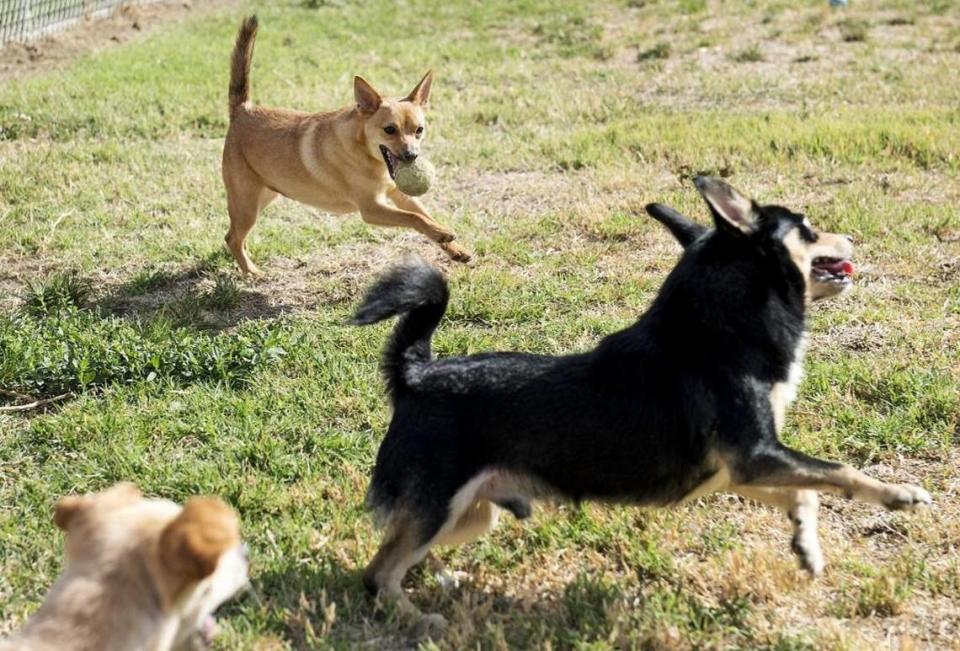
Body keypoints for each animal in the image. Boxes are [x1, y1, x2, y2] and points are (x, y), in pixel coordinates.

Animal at [221, 14, 468, 276]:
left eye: (419, 130)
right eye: (390, 130)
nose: (412, 156)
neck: (365, 153)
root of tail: (243, 110)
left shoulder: (399, 194)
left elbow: (425, 215)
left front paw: (453, 246)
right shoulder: (371, 209)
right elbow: (414, 218)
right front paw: (442, 233)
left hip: (263, 197)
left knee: (237, 235)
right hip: (247, 204)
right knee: (233, 238)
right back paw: (251, 271)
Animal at [352, 176, 928, 624]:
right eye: (808, 228)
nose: (851, 236)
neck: (718, 332)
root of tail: (415, 373)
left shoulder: (739, 469)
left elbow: (806, 492)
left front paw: (806, 544)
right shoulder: (756, 454)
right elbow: (838, 472)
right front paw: (898, 494)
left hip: (467, 515)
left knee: (400, 555)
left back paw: (444, 581)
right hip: (438, 507)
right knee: (377, 573)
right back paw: (416, 616)